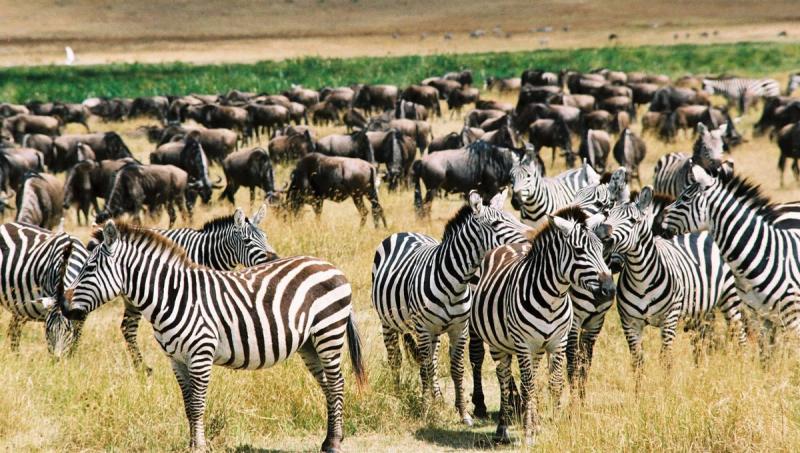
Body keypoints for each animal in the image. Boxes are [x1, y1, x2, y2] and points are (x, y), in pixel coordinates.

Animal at [0, 221, 88, 357]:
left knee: (15, 329)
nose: (57, 359)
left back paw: (16, 356)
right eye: (47, 330)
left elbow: (76, 340)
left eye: (68, 330)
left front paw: (72, 358)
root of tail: (5, 224)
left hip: (20, 307)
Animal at [88, 205, 279, 372]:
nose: (275, 259)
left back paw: (141, 368)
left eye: (266, 237)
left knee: (127, 327)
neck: (206, 252)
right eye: (247, 241)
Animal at [371, 190, 530, 426]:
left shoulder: (459, 329)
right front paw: (425, 410)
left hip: (434, 331)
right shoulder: (424, 329)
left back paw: (437, 397)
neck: (455, 283)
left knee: (433, 360)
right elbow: (425, 368)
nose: (531, 239)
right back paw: (399, 394)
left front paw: (462, 412)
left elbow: (456, 369)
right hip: (388, 322)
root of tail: (404, 233)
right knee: (396, 359)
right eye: (496, 223)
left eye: (513, 217)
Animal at [469, 206, 614, 445]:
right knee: (504, 379)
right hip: (499, 346)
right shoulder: (523, 344)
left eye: (602, 249)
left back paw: (535, 422)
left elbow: (554, 383)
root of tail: (510, 244)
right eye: (578, 251)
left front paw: (554, 425)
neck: (553, 300)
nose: (610, 290)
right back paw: (503, 428)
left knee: (532, 379)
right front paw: (528, 432)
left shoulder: (558, 342)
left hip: (536, 349)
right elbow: (527, 385)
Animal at [600, 186, 746, 381]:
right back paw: (700, 373)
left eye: (633, 221)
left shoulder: (669, 319)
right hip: (698, 310)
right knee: (700, 343)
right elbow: (637, 362)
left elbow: (666, 359)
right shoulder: (630, 322)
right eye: (607, 217)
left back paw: (743, 369)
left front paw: (666, 386)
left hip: (729, 295)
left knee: (739, 334)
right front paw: (640, 389)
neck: (641, 280)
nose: (603, 237)